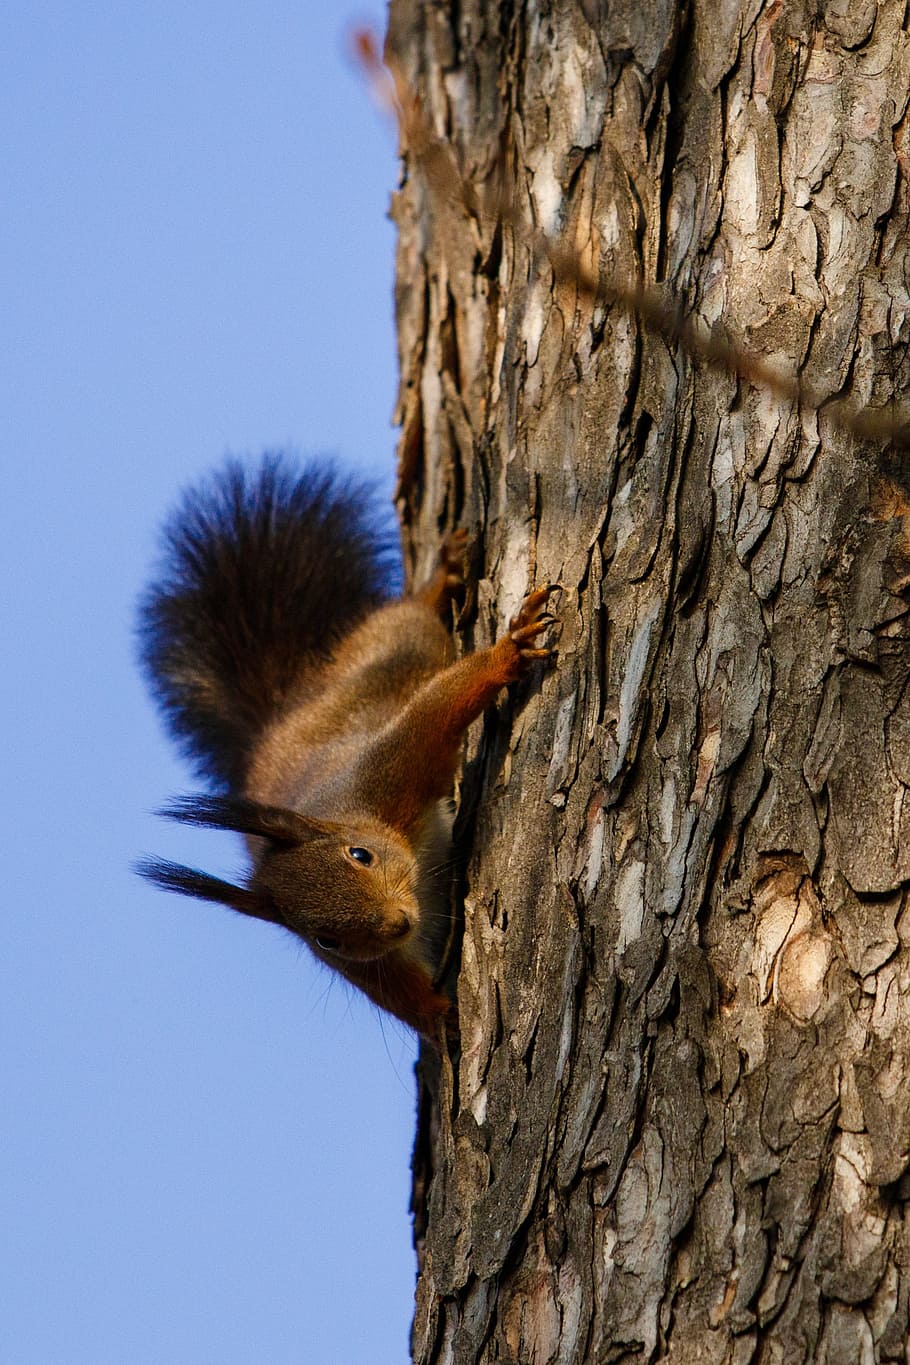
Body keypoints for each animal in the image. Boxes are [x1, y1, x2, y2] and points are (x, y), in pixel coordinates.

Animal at [137, 455, 556, 1041]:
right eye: (325, 939)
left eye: (361, 855)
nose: (398, 924)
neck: (347, 814)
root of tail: (292, 705)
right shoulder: (370, 967)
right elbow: (404, 997)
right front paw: (443, 1019)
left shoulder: (389, 769)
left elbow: (441, 706)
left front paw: (508, 653)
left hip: (393, 650)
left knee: (409, 616)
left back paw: (441, 577)